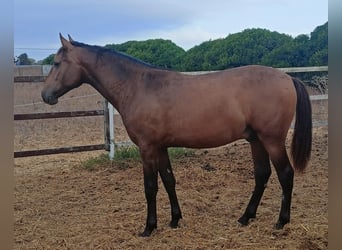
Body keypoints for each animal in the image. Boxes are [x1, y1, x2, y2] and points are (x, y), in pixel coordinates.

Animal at [41, 34, 312, 236]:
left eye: (56, 63)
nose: (45, 95)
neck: (139, 86)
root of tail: (287, 77)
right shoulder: (160, 147)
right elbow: (169, 181)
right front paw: (174, 220)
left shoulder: (147, 148)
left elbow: (150, 187)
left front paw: (149, 228)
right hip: (256, 140)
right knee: (262, 175)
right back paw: (246, 217)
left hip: (272, 140)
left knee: (285, 174)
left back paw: (281, 221)